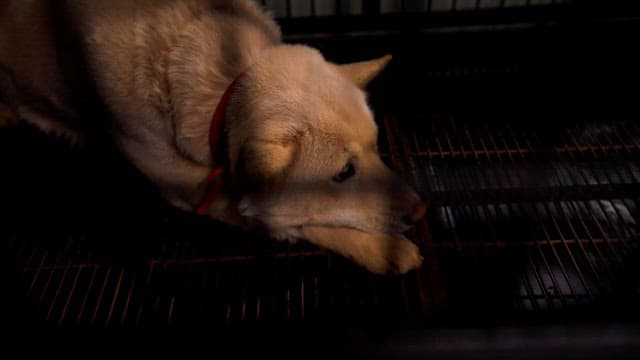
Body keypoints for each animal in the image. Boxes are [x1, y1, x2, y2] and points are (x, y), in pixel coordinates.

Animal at [1, 0, 430, 274]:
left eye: (377, 148)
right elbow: (297, 221)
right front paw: (383, 250)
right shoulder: (197, 194)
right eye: (342, 173)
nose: (422, 210)